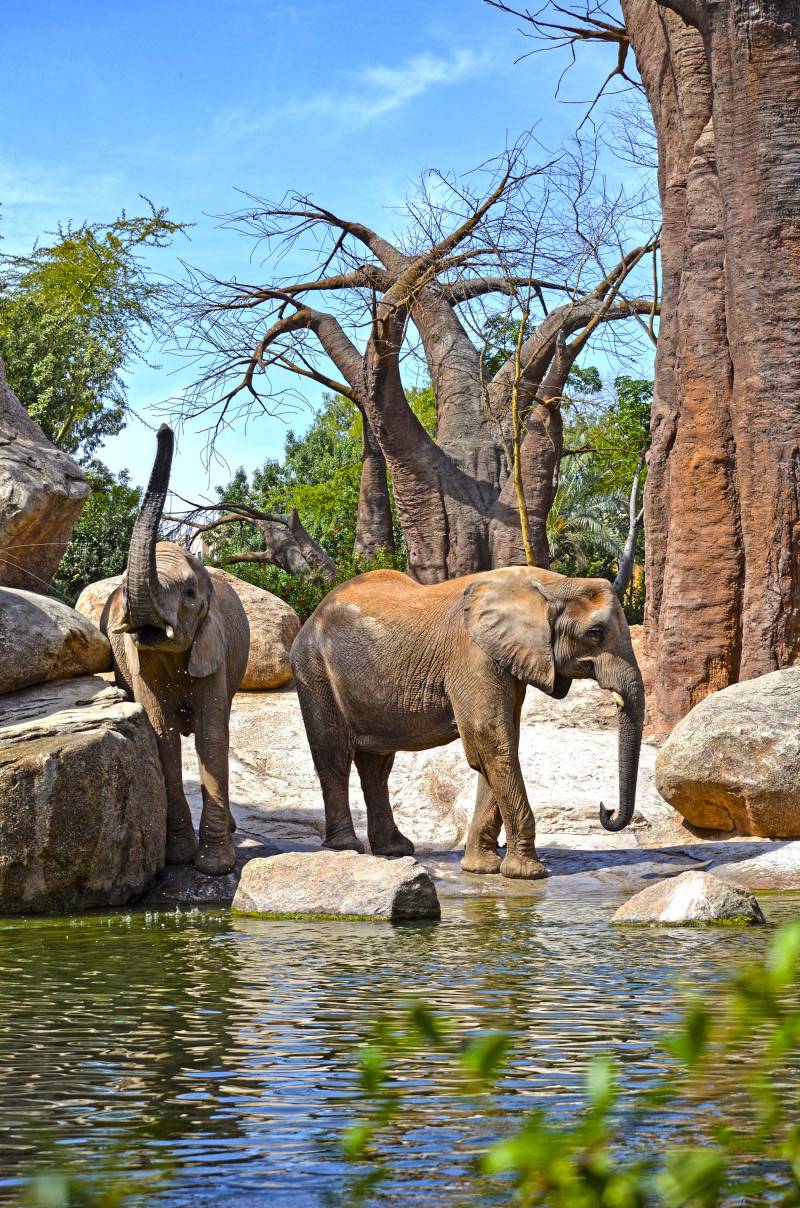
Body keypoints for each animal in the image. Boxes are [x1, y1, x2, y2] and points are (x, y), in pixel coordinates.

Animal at [103, 430, 248, 874]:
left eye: (188, 594)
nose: (164, 431)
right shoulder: (140, 664)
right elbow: (162, 734)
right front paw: (179, 857)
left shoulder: (214, 649)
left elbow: (213, 735)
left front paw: (215, 866)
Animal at [291, 565, 647, 879]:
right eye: (595, 634)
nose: (606, 810)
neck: (553, 583)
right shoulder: (472, 654)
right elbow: (490, 740)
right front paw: (529, 874)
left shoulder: (505, 656)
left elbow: (498, 745)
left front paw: (481, 868)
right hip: (313, 668)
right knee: (334, 757)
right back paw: (345, 848)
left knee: (376, 768)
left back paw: (394, 849)